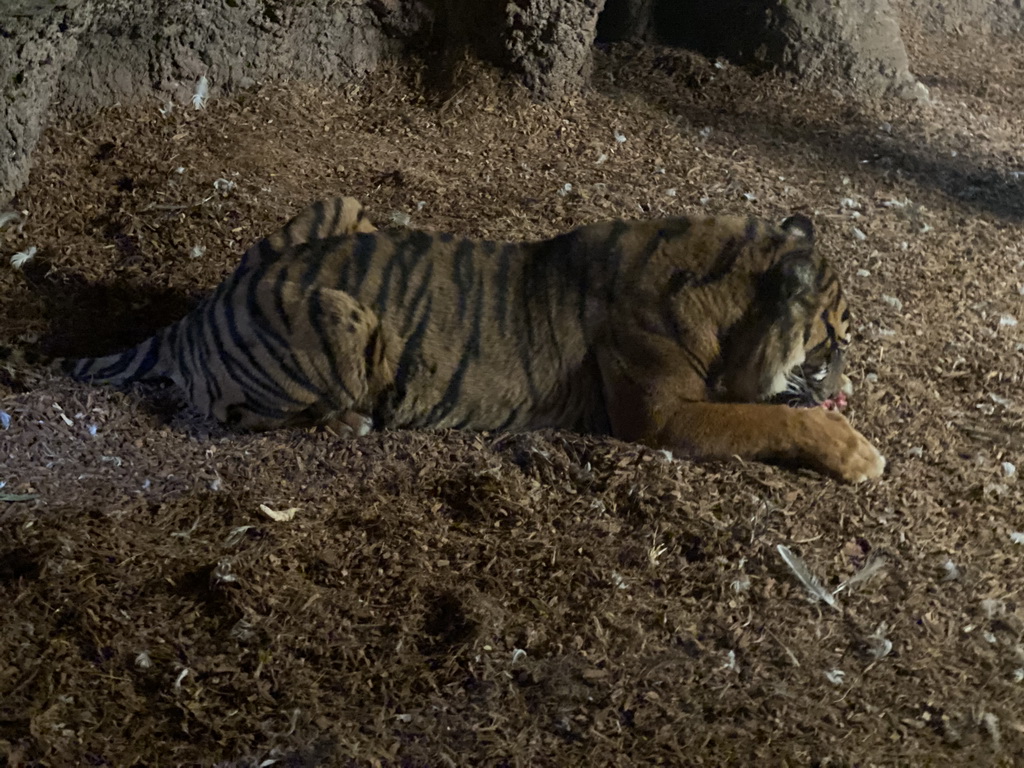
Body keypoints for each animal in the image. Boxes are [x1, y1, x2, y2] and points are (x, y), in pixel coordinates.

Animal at [0, 199, 884, 487]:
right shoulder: (663, 418)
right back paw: (351, 422)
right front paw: (859, 451)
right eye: (835, 338)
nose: (848, 384)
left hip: (339, 208)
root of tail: (197, 312)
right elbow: (775, 417)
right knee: (229, 418)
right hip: (340, 317)